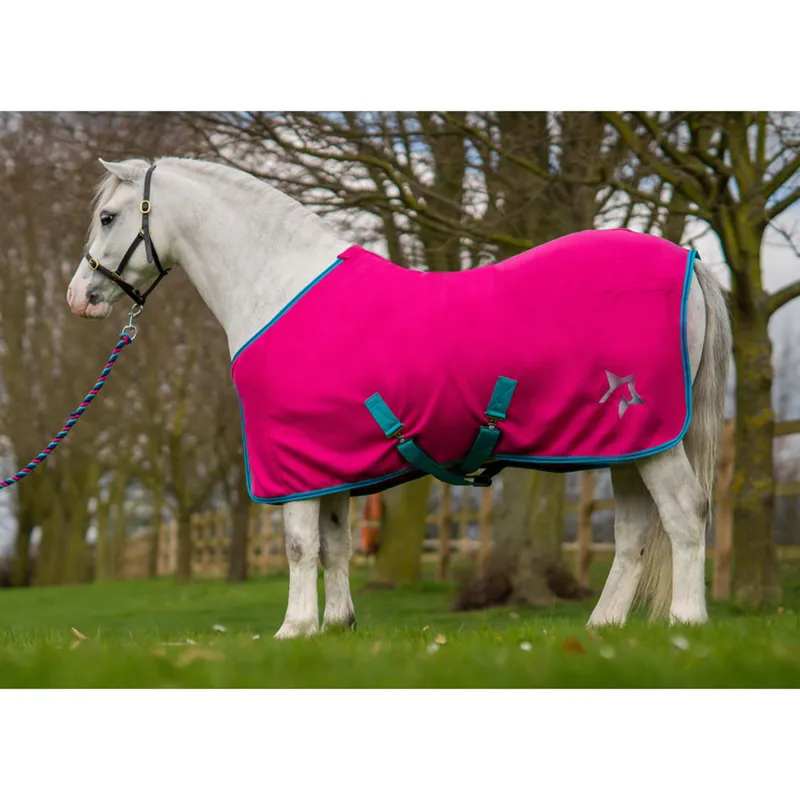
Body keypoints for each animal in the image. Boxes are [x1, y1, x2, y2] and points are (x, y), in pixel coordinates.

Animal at [67, 157, 731, 639]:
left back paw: (688, 620)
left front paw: (293, 629)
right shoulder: (329, 460)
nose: (79, 298)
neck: (280, 284)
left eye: (109, 217)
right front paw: (335, 626)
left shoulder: (294, 459)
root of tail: (688, 258)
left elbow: (300, 544)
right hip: (627, 444)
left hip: (650, 439)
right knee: (634, 531)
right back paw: (603, 626)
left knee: (685, 514)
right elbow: (335, 545)